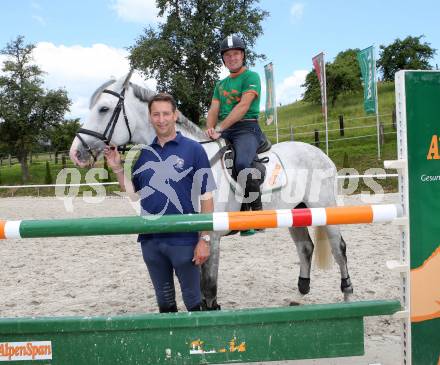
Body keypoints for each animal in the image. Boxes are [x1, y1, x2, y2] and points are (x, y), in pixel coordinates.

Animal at [69, 72, 354, 306]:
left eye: (104, 109)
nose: (76, 152)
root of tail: (320, 153)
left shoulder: (211, 237)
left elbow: (208, 290)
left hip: (324, 208)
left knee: (338, 247)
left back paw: (347, 293)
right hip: (295, 213)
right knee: (305, 247)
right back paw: (300, 294)